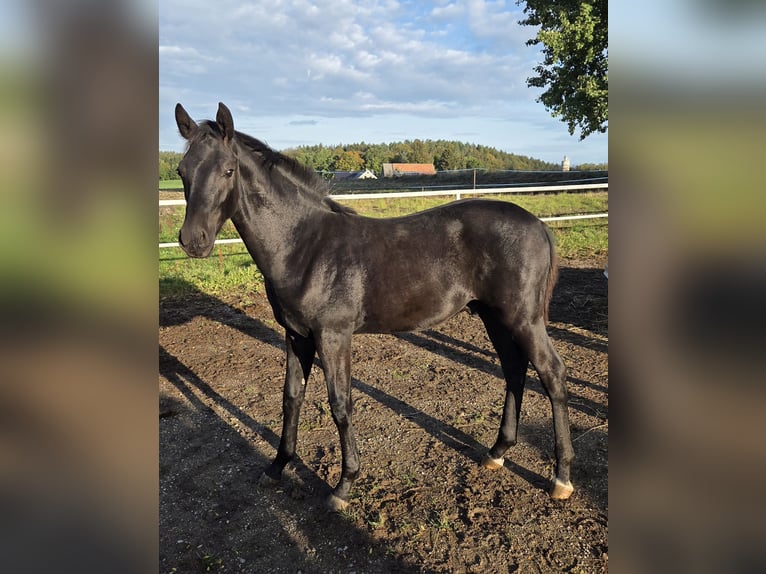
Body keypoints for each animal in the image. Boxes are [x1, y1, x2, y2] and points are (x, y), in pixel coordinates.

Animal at [173, 102, 574, 510]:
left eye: (228, 170)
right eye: (182, 171)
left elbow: (340, 404)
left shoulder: (333, 336)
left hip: (523, 319)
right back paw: (496, 453)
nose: (193, 240)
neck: (304, 244)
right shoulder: (296, 335)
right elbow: (291, 397)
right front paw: (277, 467)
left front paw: (343, 485)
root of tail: (538, 225)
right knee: (514, 370)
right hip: (494, 317)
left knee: (552, 374)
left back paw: (561, 478)